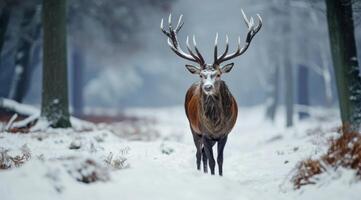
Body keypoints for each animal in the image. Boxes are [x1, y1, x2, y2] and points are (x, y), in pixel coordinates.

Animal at [160, 10, 262, 176]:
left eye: (218, 74)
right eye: (201, 75)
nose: (207, 87)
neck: (215, 124)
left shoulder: (224, 134)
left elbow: (220, 160)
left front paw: (219, 176)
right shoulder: (205, 133)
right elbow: (212, 159)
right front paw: (212, 177)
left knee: (203, 154)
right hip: (193, 128)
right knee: (199, 154)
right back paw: (201, 172)